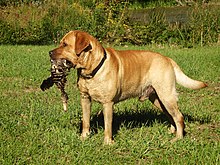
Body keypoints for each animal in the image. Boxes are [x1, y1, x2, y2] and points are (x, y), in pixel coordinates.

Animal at [49, 30, 207, 144]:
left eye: (65, 44)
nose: (49, 52)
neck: (92, 69)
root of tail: (168, 59)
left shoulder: (108, 103)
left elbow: (108, 126)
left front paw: (107, 143)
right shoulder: (85, 99)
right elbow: (86, 121)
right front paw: (84, 137)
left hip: (166, 95)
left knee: (179, 116)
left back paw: (178, 138)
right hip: (157, 99)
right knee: (171, 115)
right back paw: (172, 131)